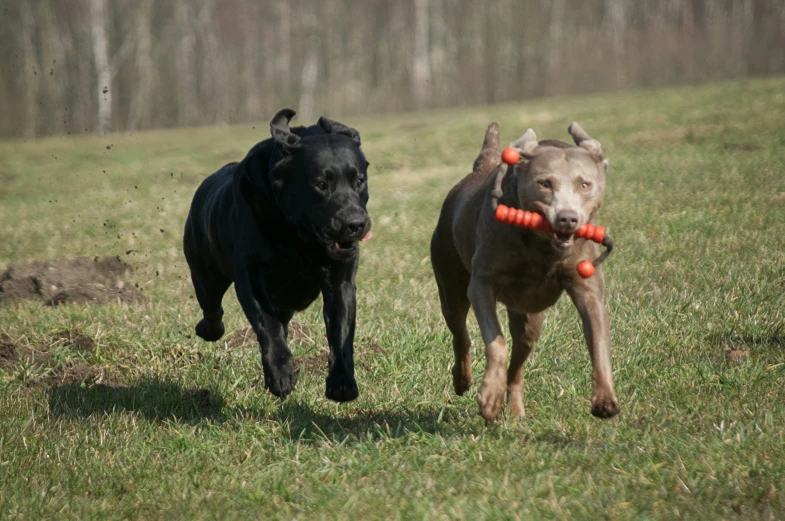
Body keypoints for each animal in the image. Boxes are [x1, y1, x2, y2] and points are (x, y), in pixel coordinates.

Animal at [184, 108, 370, 402]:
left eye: (359, 181)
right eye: (321, 184)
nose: (355, 223)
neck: (299, 239)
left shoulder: (341, 281)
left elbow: (341, 332)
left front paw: (342, 382)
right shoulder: (250, 277)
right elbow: (267, 324)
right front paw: (281, 374)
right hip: (205, 273)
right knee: (213, 309)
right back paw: (208, 329)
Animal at [428, 120, 620, 420]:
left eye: (585, 184)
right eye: (545, 183)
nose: (567, 219)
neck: (541, 247)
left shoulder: (587, 286)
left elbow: (598, 340)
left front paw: (605, 399)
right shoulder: (482, 283)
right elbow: (496, 341)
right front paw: (489, 396)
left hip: (530, 318)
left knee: (518, 362)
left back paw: (516, 412)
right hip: (450, 282)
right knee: (460, 333)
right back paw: (463, 380)